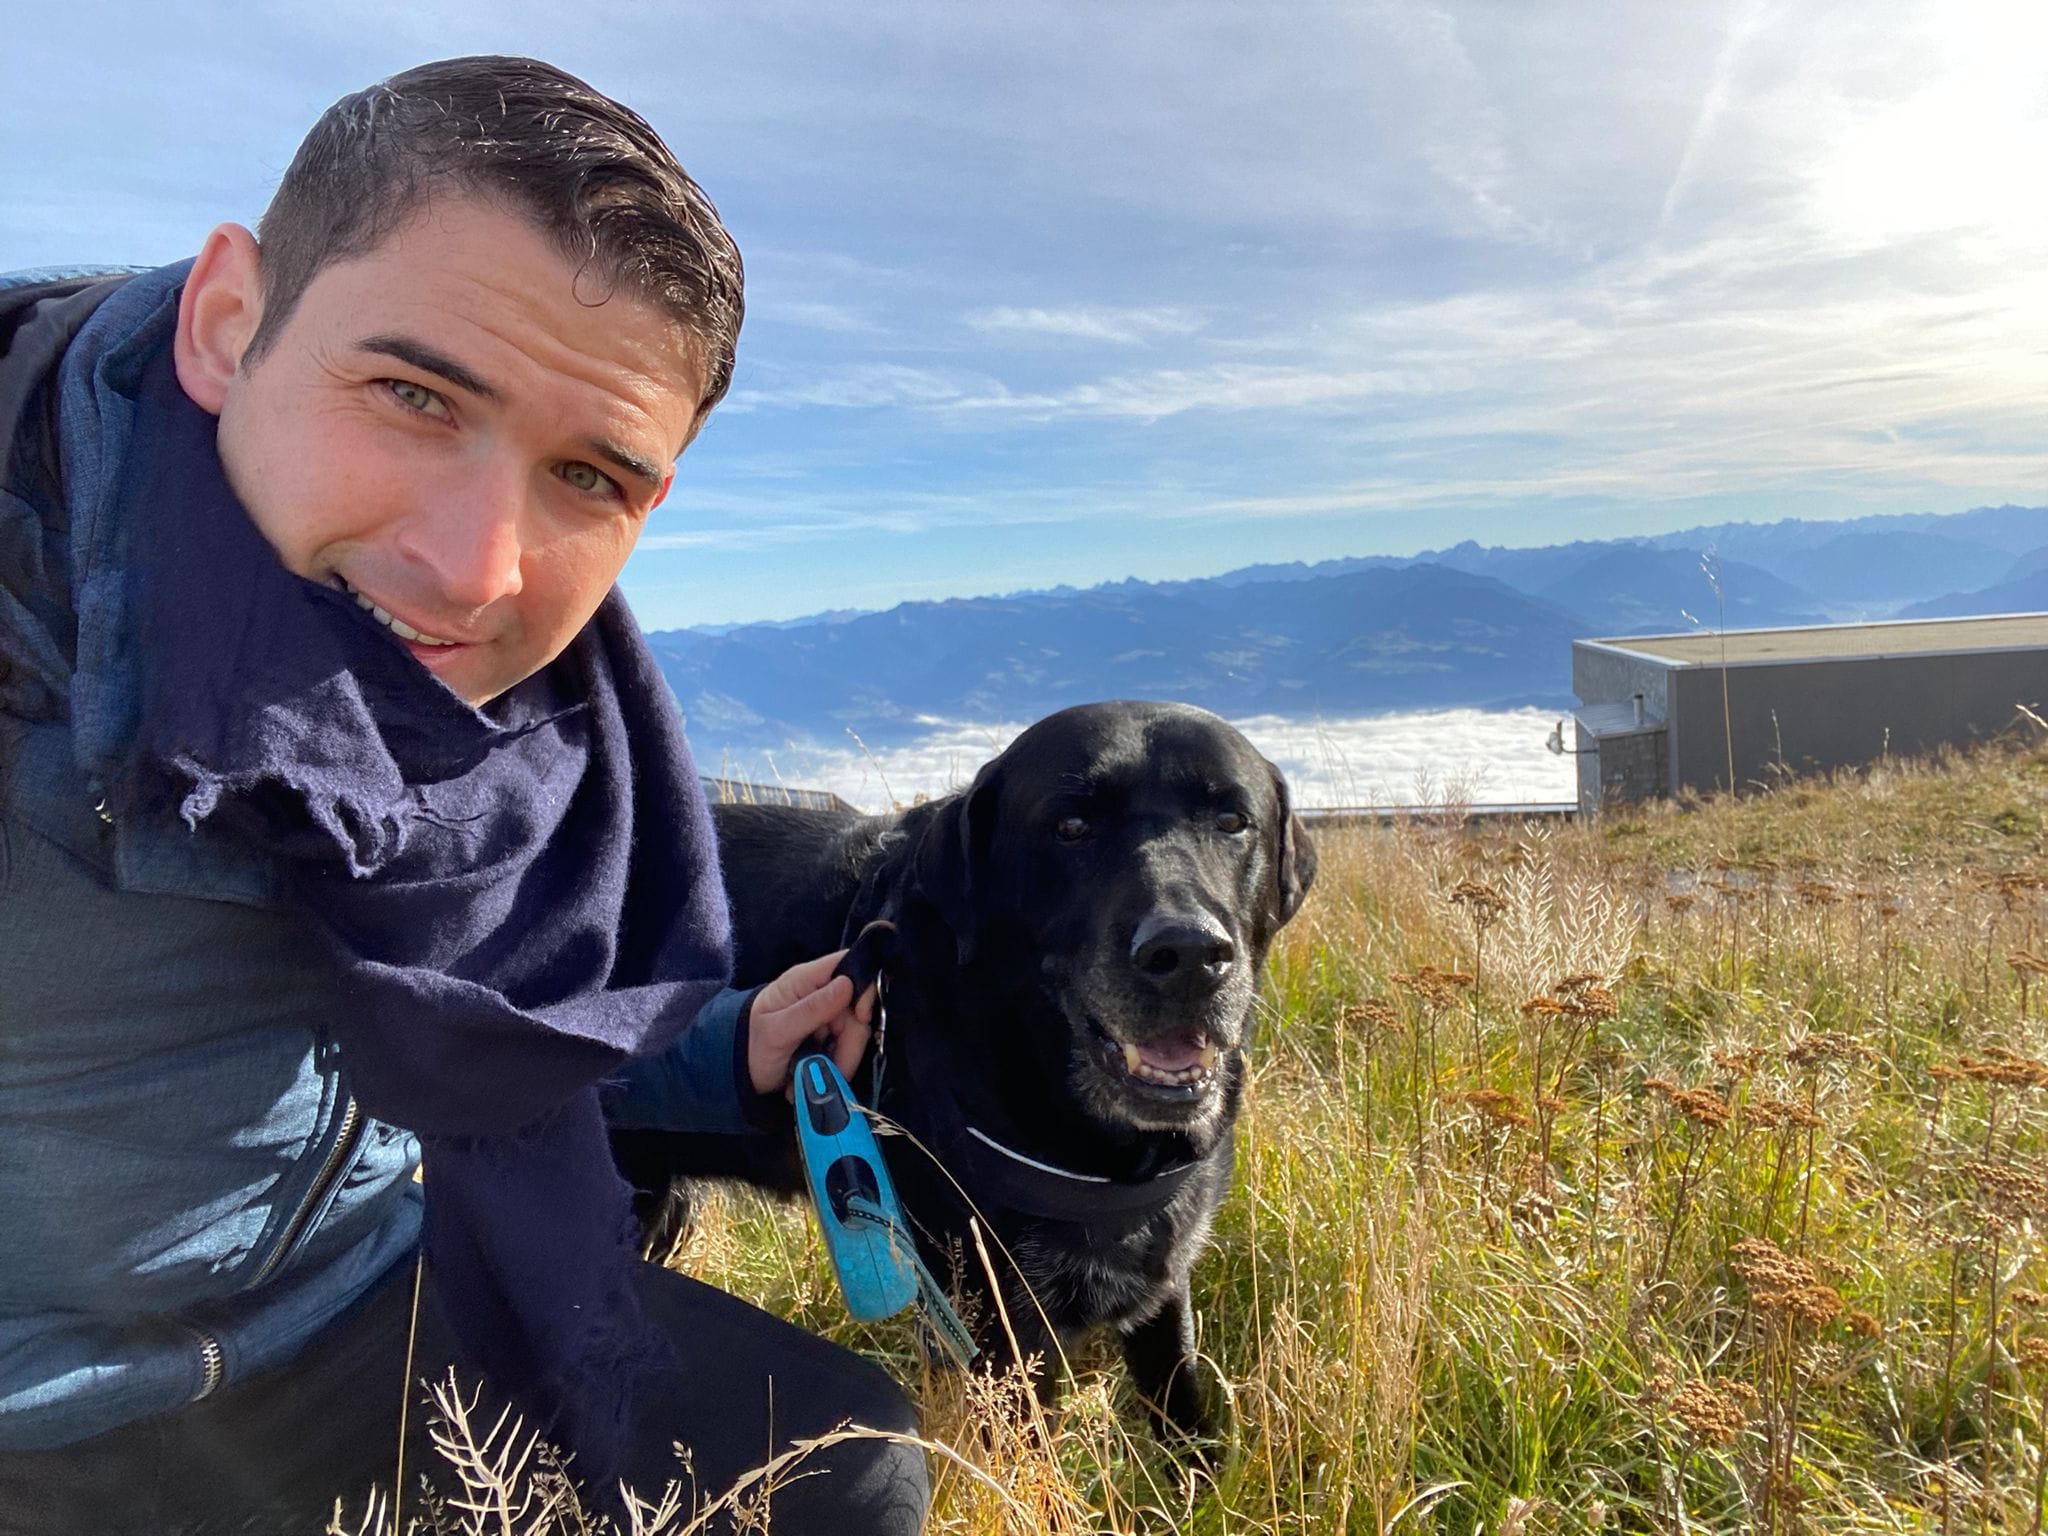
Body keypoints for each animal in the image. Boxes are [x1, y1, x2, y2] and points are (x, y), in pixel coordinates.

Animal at [612, 700, 1316, 1451]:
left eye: (1232, 821)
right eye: (1072, 827)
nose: (1186, 953)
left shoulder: (1162, 1275)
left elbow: (1183, 1412)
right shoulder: (996, 1322)